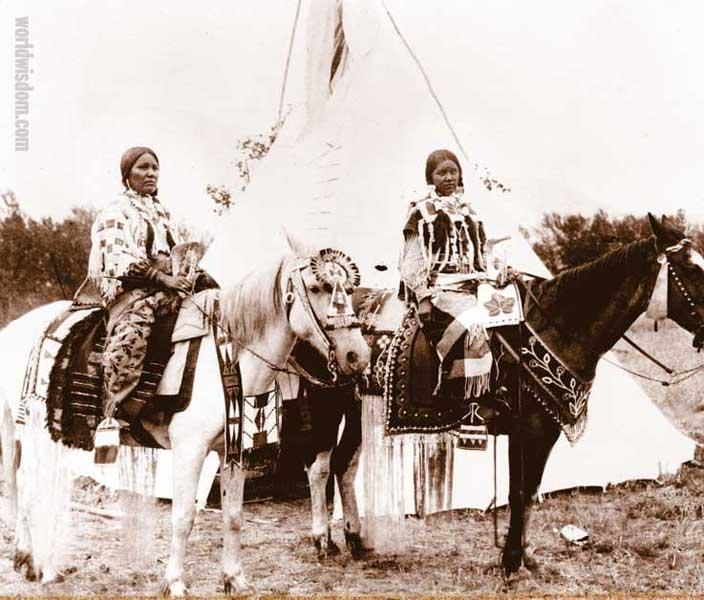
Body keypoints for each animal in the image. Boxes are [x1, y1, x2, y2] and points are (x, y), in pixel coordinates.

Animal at [0, 239, 372, 596]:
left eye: (348, 288)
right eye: (318, 286)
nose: (358, 356)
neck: (229, 355)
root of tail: (16, 328)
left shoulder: (232, 450)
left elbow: (233, 515)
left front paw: (234, 578)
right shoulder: (189, 450)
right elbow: (183, 517)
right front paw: (175, 582)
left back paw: (28, 560)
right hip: (37, 432)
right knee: (30, 485)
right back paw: (39, 565)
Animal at [284, 214, 704, 576]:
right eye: (692, 269)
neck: (551, 327)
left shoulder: (538, 433)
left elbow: (528, 493)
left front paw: (525, 557)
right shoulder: (530, 430)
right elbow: (519, 493)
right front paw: (512, 562)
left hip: (356, 408)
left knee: (343, 464)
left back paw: (356, 541)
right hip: (326, 402)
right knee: (319, 466)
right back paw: (323, 541)